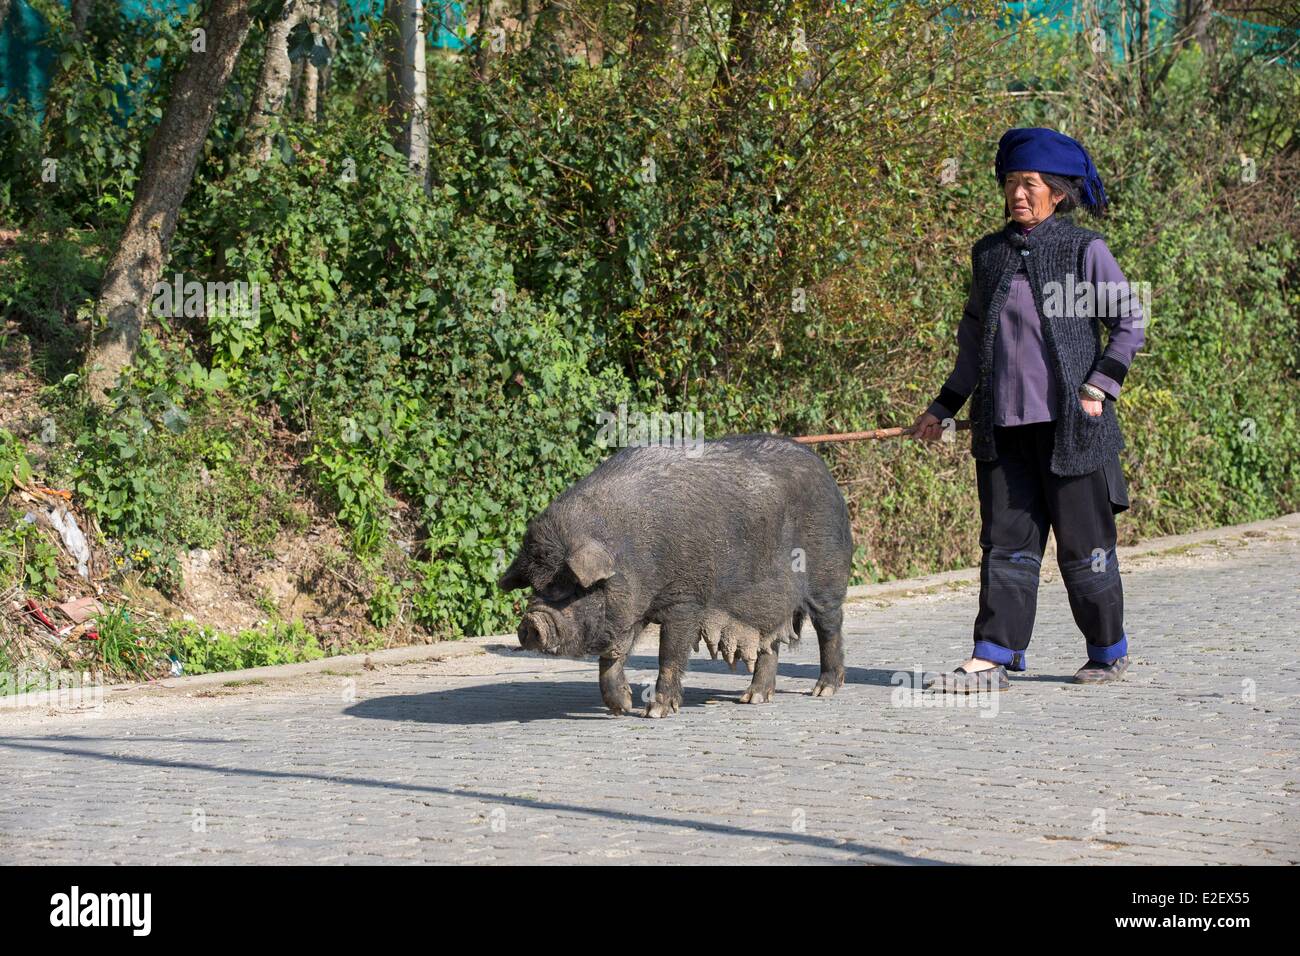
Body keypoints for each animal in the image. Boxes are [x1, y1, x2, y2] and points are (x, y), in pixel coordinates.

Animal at [496, 434, 852, 717]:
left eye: (568, 585)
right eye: (535, 586)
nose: (532, 623)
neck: (631, 550)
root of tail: (827, 474)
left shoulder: (685, 600)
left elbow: (669, 652)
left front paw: (654, 712)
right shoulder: (630, 610)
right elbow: (612, 656)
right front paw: (622, 708)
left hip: (827, 579)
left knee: (830, 628)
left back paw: (823, 690)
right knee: (769, 643)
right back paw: (751, 699)